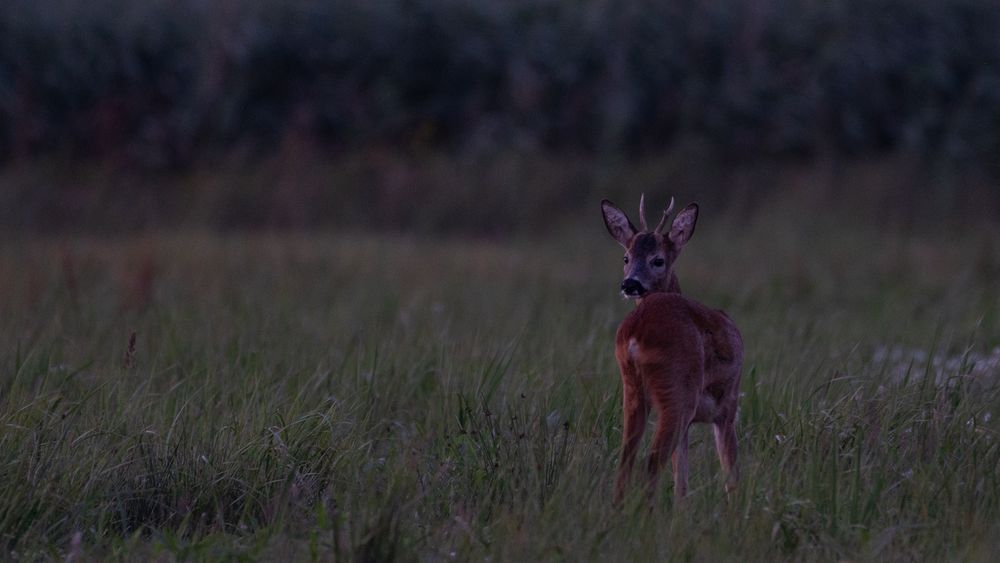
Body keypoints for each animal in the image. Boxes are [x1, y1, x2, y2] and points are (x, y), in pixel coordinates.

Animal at [600, 197, 744, 502]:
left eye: (658, 260)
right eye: (626, 258)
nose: (630, 284)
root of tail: (636, 331)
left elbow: (682, 479)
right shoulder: (728, 406)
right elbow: (730, 473)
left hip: (632, 388)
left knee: (626, 459)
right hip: (677, 391)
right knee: (652, 462)